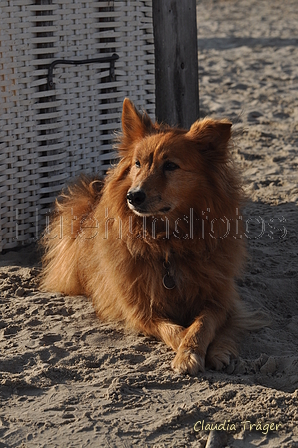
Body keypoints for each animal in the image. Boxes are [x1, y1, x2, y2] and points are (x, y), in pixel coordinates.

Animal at [40, 98, 260, 374]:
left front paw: (216, 350)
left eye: (170, 166)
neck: (168, 242)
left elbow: (203, 324)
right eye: (138, 164)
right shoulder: (142, 310)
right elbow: (176, 331)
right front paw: (187, 353)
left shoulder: (220, 298)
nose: (133, 196)